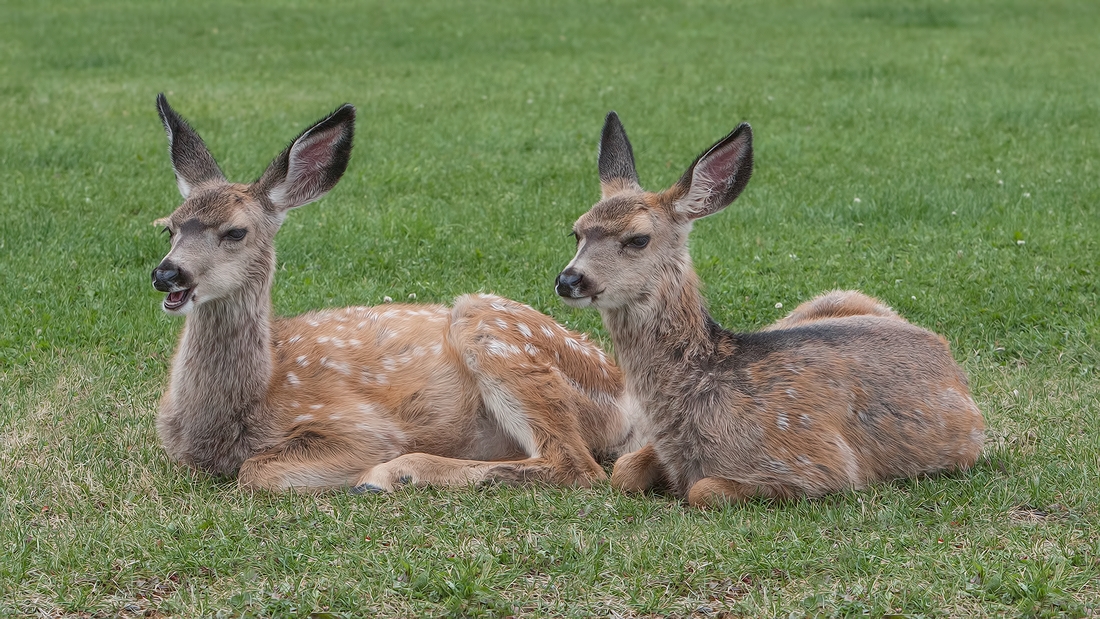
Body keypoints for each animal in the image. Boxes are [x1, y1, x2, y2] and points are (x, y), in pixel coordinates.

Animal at [149, 95, 642, 494]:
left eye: (235, 232)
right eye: (170, 227)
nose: (166, 273)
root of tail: (624, 398)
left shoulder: (360, 427)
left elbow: (256, 472)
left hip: (493, 330)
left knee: (576, 466)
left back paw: (393, 475)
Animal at [554, 112, 985, 507]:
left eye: (638, 239)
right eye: (576, 231)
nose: (569, 279)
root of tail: (946, 353)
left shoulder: (820, 462)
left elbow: (702, 490)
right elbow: (624, 471)